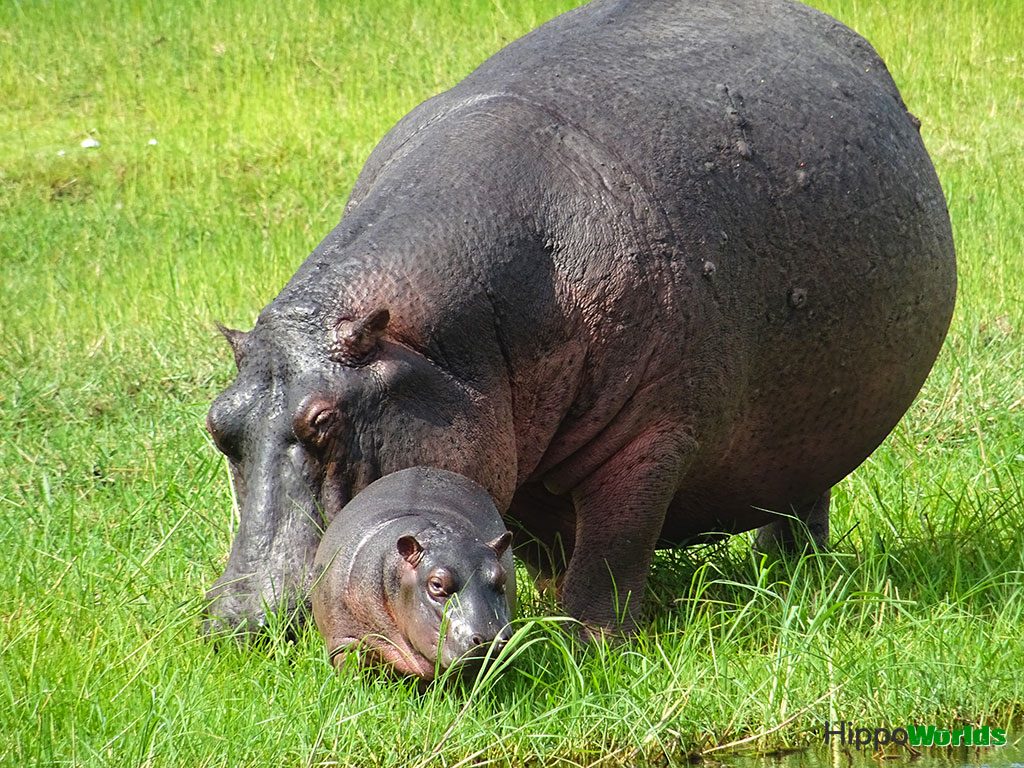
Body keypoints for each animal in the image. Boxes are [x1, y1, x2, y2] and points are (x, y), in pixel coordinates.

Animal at [203, 0, 956, 635]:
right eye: (217, 424)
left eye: (325, 423)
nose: (238, 622)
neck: (432, 350)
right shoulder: (511, 450)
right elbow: (525, 540)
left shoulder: (650, 439)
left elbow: (611, 551)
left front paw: (589, 645)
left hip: (812, 436)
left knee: (799, 510)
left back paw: (796, 581)